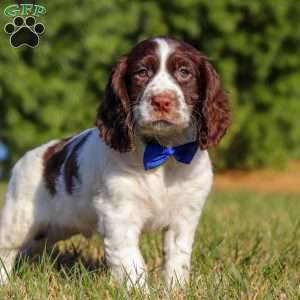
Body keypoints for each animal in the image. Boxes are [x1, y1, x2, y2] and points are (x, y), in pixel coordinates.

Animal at [0, 37, 232, 288]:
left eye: (184, 72)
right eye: (142, 72)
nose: (162, 101)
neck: (162, 151)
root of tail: (31, 155)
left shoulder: (184, 216)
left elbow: (177, 260)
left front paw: (175, 291)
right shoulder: (119, 215)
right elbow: (132, 264)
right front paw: (140, 291)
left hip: (50, 229)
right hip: (19, 220)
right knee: (7, 249)